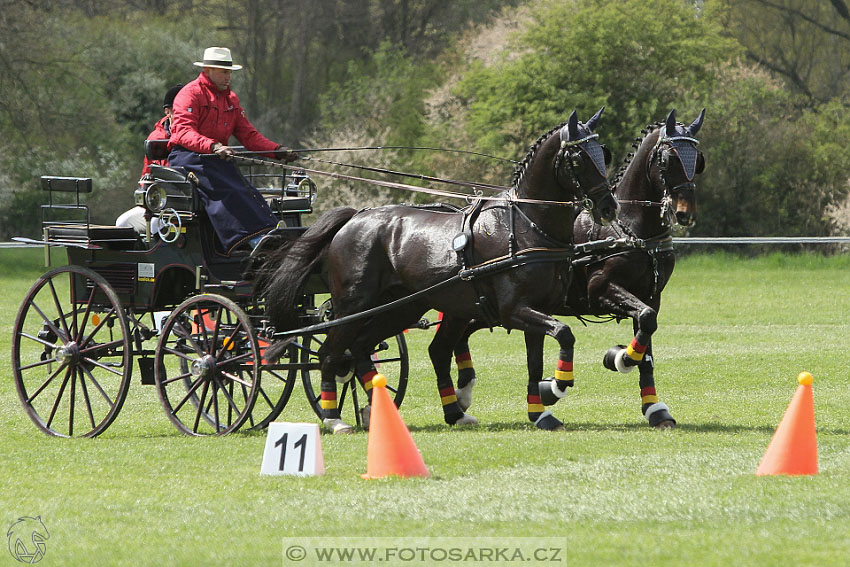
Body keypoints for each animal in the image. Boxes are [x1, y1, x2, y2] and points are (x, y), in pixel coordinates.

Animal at [264, 108, 616, 432]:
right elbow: (565, 333)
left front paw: (541, 412)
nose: (608, 207)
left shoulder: (537, 310)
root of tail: (354, 218)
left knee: (364, 349)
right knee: (330, 353)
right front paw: (557, 387)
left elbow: (535, 362)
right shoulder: (515, 310)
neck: (526, 225)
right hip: (353, 307)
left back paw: (405, 412)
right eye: (578, 159)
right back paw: (334, 418)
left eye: (603, 153)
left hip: (401, 308)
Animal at [454, 110, 704, 430]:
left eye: (697, 160)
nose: (686, 213)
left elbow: (647, 338)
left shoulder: (651, 296)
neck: (631, 228)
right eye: (668, 159)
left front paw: (655, 409)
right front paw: (619, 358)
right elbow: (645, 324)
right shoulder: (601, 289)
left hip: (485, 309)